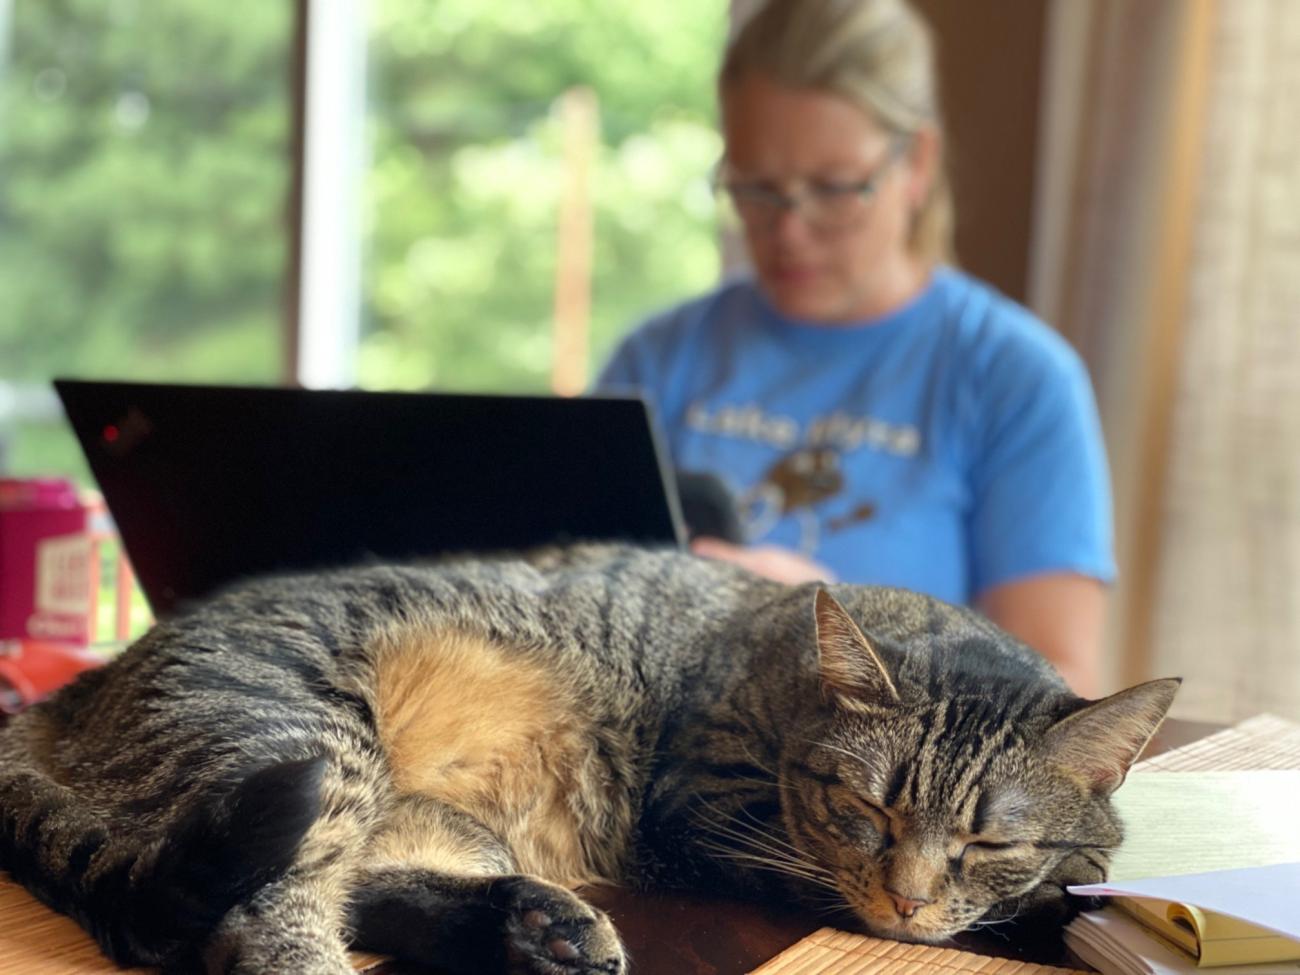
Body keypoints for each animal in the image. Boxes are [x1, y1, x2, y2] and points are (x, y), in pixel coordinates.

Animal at [0, 546, 1180, 972]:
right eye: (868, 808)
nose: (907, 896)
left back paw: (539, 930)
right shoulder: (710, 816)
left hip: (418, 813)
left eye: (986, 837)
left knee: (361, 888)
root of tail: (71, 692)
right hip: (306, 747)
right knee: (259, 919)